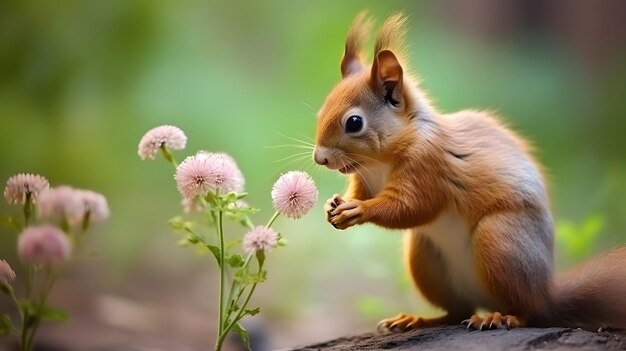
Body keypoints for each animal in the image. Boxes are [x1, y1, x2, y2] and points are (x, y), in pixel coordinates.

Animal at [310, 12, 624, 332]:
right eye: (321, 112)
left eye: (354, 123)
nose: (319, 158)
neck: (379, 163)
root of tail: (547, 294)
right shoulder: (366, 179)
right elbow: (363, 193)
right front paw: (332, 206)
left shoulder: (428, 167)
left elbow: (411, 207)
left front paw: (357, 210)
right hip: (425, 258)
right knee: (456, 311)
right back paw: (417, 319)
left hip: (500, 242)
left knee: (528, 312)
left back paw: (503, 317)